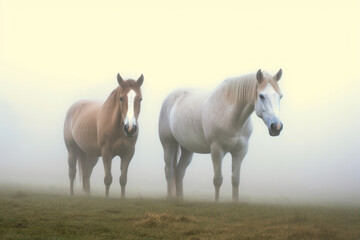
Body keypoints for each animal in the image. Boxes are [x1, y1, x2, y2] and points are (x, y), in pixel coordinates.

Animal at [159, 69, 282, 201]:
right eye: (261, 96)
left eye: (280, 96)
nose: (276, 127)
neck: (231, 117)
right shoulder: (217, 151)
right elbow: (218, 180)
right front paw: (217, 202)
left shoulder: (240, 152)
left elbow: (235, 179)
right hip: (169, 145)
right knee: (169, 171)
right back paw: (170, 197)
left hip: (187, 148)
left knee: (180, 171)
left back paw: (180, 199)